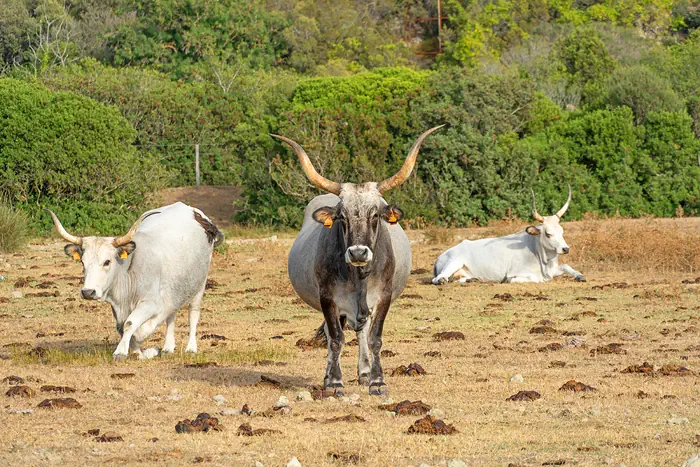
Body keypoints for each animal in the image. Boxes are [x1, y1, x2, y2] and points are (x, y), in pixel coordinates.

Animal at [47, 203, 221, 360]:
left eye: (107, 262)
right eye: (83, 263)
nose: (88, 292)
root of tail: (196, 214)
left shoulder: (151, 303)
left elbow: (132, 324)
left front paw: (122, 351)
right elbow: (123, 327)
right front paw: (138, 352)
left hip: (199, 285)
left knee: (193, 314)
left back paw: (191, 348)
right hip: (176, 289)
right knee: (172, 315)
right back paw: (167, 347)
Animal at [274, 126, 442, 396]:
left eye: (375, 215)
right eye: (341, 217)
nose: (358, 253)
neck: (358, 276)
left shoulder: (383, 297)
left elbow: (375, 338)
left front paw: (377, 381)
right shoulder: (328, 298)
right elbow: (335, 338)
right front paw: (334, 382)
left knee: (362, 330)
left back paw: (364, 372)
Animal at [432, 186, 584, 286]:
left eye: (562, 231)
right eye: (548, 234)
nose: (565, 249)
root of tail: (441, 256)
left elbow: (566, 266)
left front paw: (580, 276)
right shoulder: (515, 275)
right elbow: (535, 278)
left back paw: (473, 279)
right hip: (454, 261)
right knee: (438, 278)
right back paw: (442, 280)